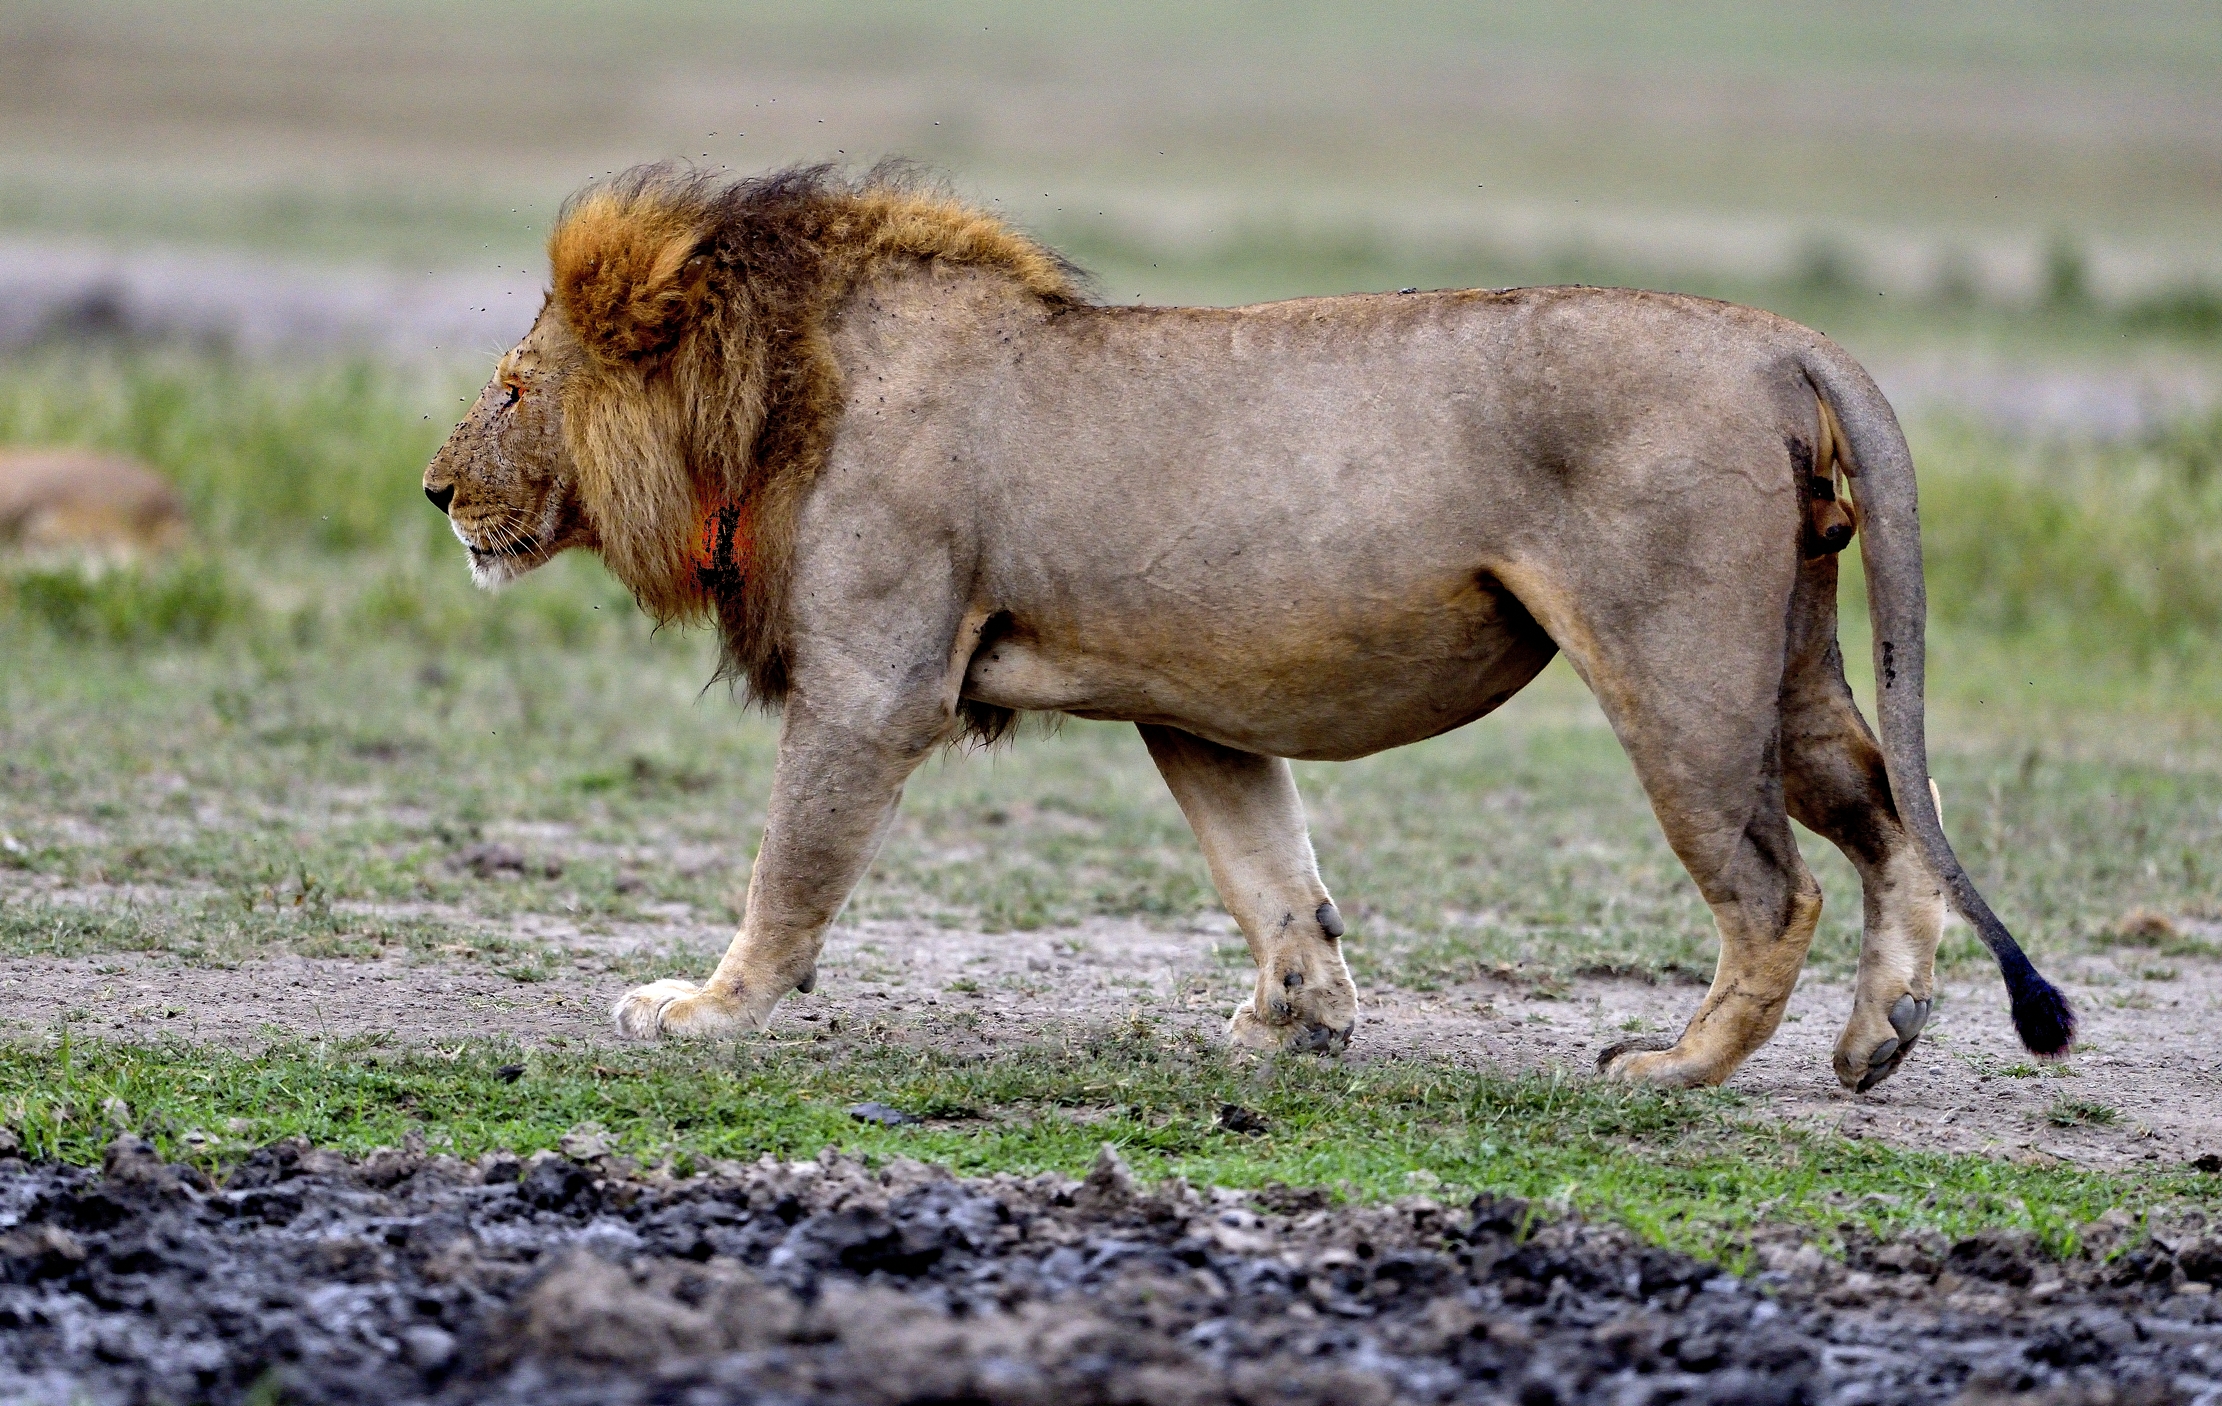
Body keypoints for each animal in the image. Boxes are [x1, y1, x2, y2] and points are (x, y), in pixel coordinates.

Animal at [422, 162, 2073, 1091]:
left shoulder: (873, 679)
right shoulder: (1193, 707)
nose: (434, 489)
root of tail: (1781, 338)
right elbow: (1273, 877)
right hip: (1783, 652)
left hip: (1674, 663)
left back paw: (1672, 1067)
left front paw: (704, 1008)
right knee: (1889, 815)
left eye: (510, 387)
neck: (774, 397)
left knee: (1773, 887)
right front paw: (1299, 1026)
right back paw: (1878, 1037)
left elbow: (790, 868)